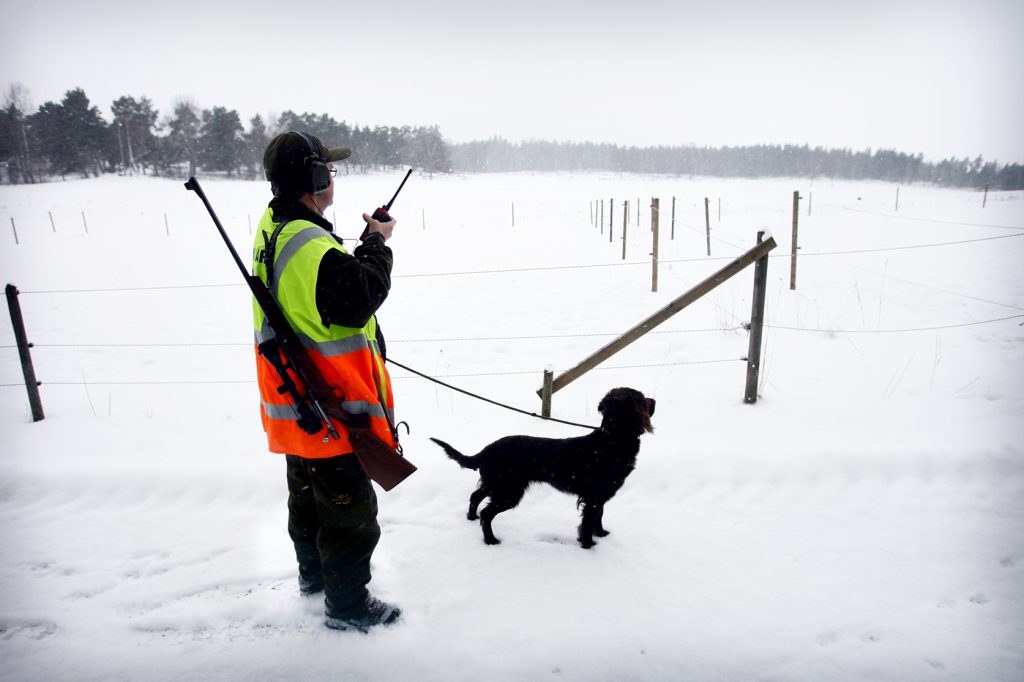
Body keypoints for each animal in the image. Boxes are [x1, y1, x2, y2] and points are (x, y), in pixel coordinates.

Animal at [430, 387, 655, 548]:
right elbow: (589, 520)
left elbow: (599, 516)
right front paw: (588, 544)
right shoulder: (594, 496)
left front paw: (601, 534)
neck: (612, 439)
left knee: (475, 496)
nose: (654, 401)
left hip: (495, 483)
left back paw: (471, 517)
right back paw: (490, 540)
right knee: (487, 514)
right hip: (508, 490)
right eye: (641, 398)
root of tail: (487, 449)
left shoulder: (600, 495)